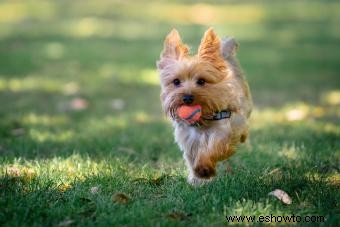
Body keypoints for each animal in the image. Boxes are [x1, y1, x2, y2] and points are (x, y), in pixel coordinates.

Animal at [157, 28, 252, 184]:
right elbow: (192, 157)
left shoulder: (224, 129)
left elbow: (215, 147)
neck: (202, 121)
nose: (187, 98)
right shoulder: (188, 138)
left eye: (201, 81)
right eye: (176, 81)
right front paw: (196, 178)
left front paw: (204, 168)